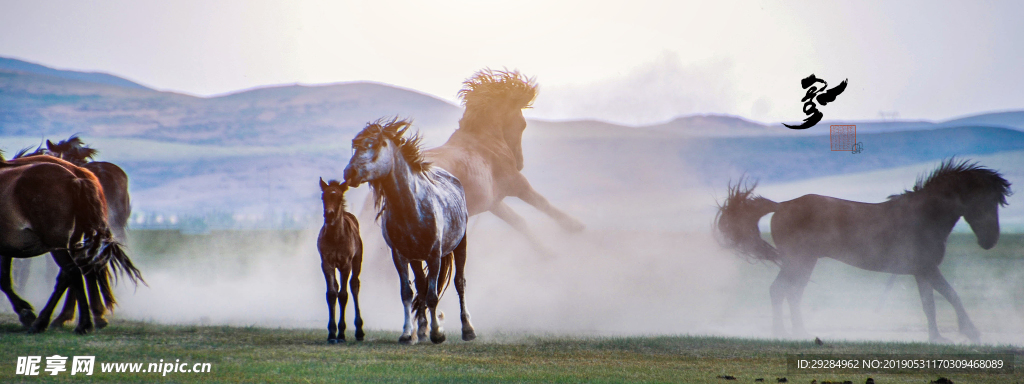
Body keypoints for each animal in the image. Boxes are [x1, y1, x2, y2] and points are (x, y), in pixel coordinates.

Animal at [1, 153, 144, 333]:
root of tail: (76, 178)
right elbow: (5, 278)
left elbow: (5, 280)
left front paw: (25, 313)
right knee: (77, 270)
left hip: (58, 243)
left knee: (72, 272)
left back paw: (69, 322)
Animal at [319, 179, 368, 344]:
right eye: (323, 197)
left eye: (339, 198)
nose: (329, 214)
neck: (335, 237)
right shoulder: (326, 263)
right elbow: (331, 293)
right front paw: (331, 333)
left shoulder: (345, 264)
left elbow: (343, 295)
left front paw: (341, 333)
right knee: (336, 286)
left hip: (357, 260)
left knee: (354, 285)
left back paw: (359, 331)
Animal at [342, 118, 473, 344]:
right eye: (355, 145)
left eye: (375, 144)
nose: (349, 173)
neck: (411, 207)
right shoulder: (400, 256)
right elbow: (407, 293)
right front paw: (406, 333)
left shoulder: (434, 255)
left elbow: (432, 296)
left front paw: (438, 334)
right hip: (416, 259)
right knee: (420, 286)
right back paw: (421, 330)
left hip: (459, 245)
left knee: (459, 283)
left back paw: (467, 330)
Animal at [716, 157, 1011, 344]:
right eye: (984, 201)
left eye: (996, 202)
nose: (990, 241)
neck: (925, 216)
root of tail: (781, 206)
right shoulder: (927, 268)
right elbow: (952, 296)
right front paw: (971, 332)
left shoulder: (921, 272)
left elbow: (930, 305)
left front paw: (937, 337)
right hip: (798, 262)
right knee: (779, 291)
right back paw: (783, 333)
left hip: (804, 263)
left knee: (792, 293)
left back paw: (800, 331)